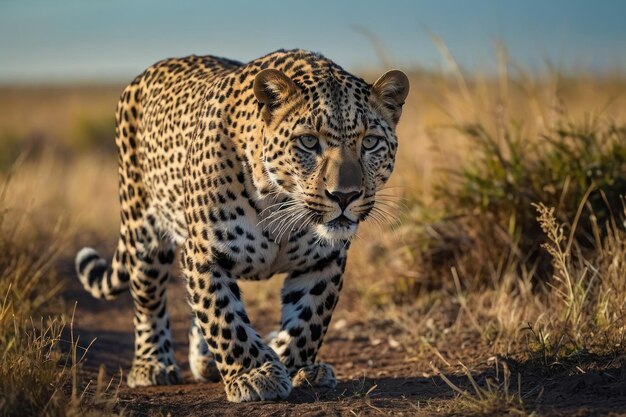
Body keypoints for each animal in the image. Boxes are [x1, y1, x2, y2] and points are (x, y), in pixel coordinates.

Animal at [74, 49, 404, 404]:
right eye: (308, 142)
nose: (344, 195)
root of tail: (145, 74)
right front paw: (255, 374)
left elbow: (309, 319)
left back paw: (205, 361)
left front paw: (297, 367)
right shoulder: (204, 253)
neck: (280, 205)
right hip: (144, 231)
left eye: (370, 142)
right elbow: (223, 317)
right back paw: (152, 365)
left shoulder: (324, 260)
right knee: (148, 299)